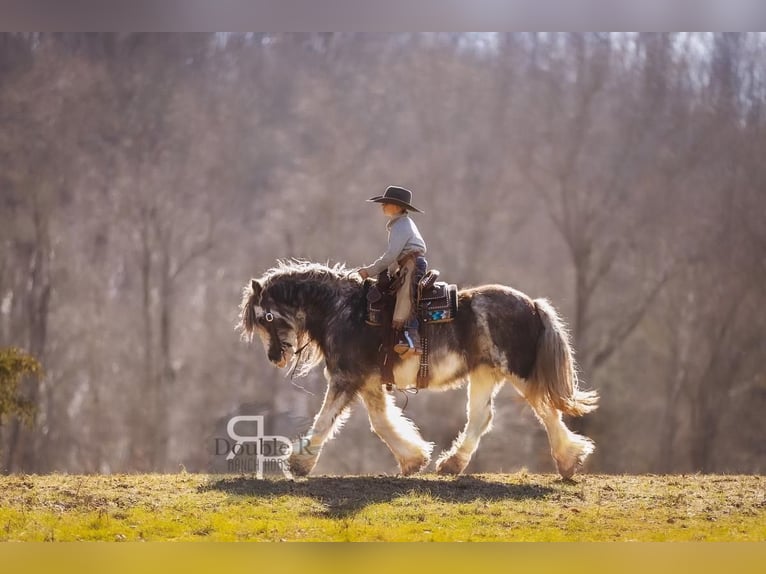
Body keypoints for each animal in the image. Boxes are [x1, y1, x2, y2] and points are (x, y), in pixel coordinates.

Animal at [240, 260, 600, 482]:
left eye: (265, 317)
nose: (274, 356)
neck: (341, 311)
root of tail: (533, 305)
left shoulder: (346, 378)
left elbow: (326, 420)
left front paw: (298, 463)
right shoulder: (368, 382)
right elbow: (381, 422)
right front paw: (413, 458)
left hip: (517, 373)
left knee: (546, 411)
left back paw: (569, 460)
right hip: (485, 374)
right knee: (482, 417)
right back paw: (452, 464)